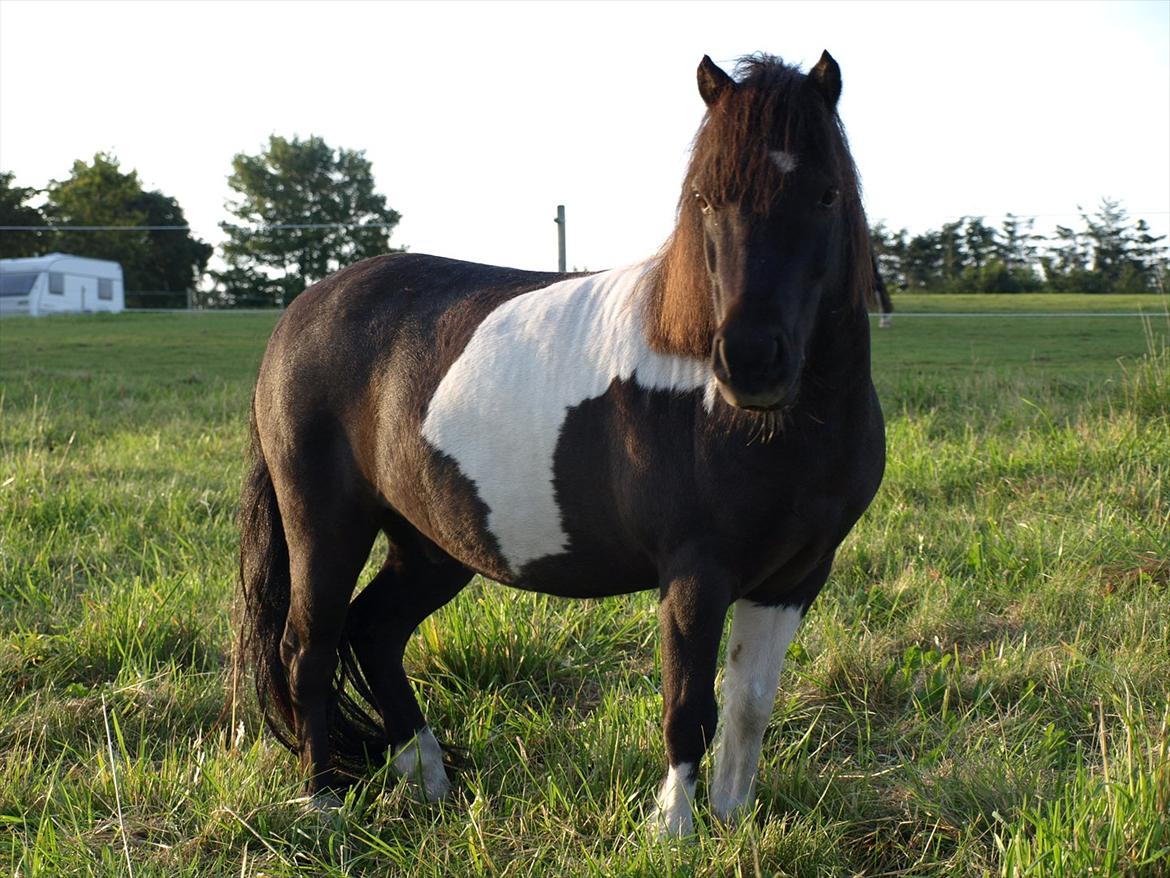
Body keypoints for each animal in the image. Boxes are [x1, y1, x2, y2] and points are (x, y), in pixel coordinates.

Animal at [236, 50, 885, 837]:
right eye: (705, 198)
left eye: (826, 195)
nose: (751, 362)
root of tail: (300, 312)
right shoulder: (695, 573)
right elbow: (689, 707)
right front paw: (673, 831)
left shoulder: (795, 577)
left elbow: (750, 707)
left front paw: (731, 824)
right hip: (324, 524)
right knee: (310, 645)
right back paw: (324, 799)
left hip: (431, 543)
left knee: (375, 632)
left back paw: (429, 781)